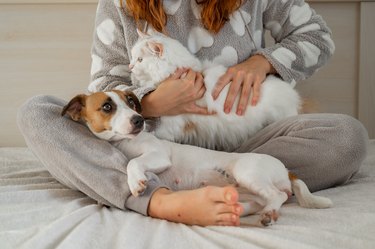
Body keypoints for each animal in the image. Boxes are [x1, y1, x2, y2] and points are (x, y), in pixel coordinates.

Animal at [62, 90, 334, 227]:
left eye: (131, 102)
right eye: (107, 107)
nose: (138, 120)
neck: (124, 142)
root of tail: (287, 170)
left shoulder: (158, 155)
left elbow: (133, 162)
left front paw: (136, 182)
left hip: (249, 173)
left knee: (277, 196)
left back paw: (269, 214)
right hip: (247, 195)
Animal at [131, 32, 302, 151]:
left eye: (140, 60)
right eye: (132, 58)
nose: (130, 67)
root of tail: (292, 96)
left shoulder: (170, 127)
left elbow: (153, 134)